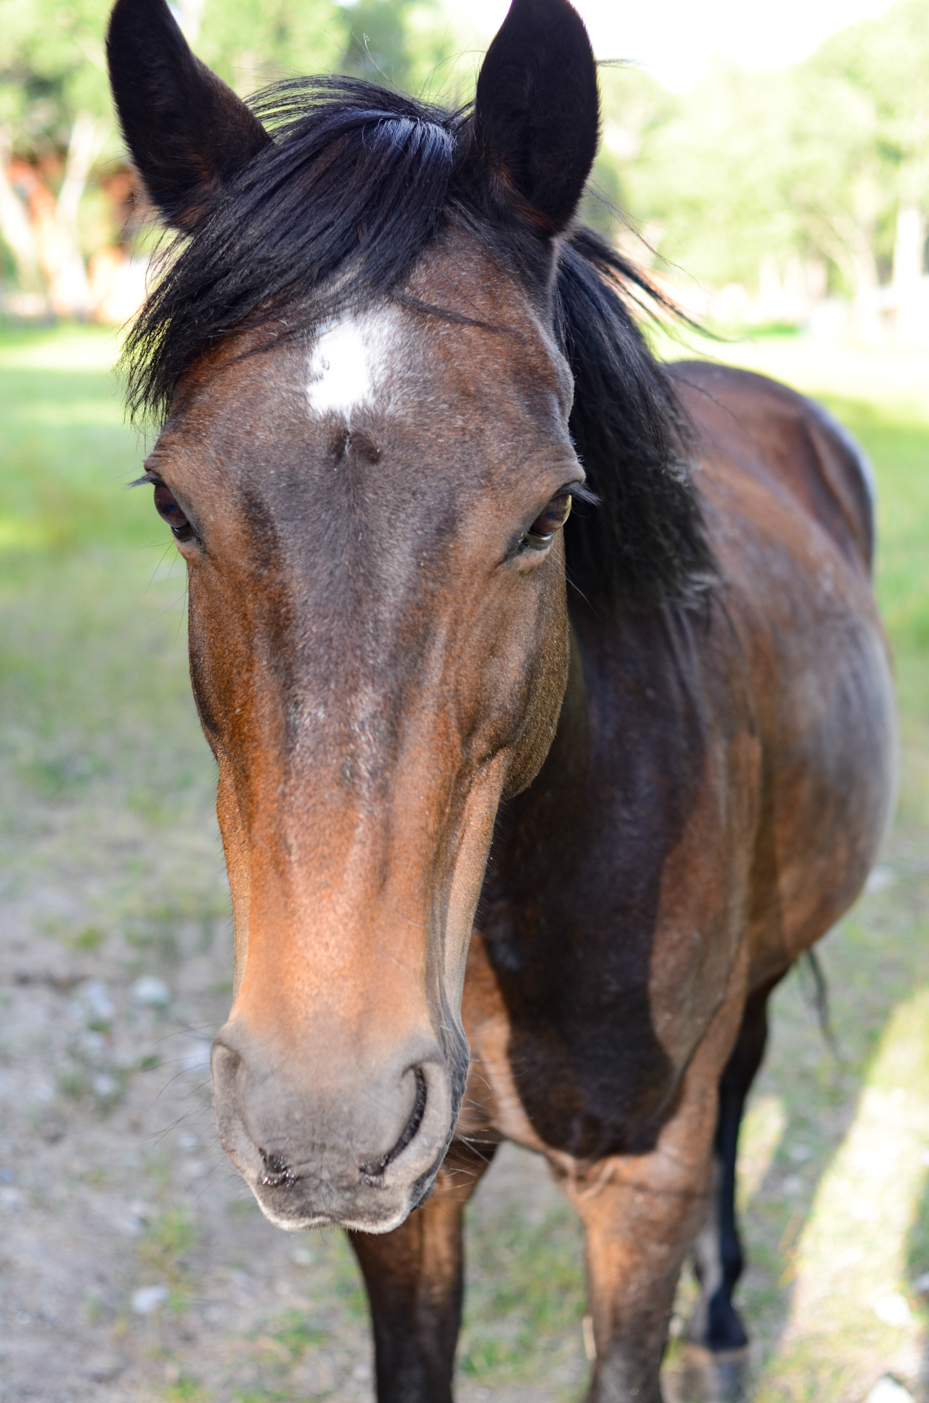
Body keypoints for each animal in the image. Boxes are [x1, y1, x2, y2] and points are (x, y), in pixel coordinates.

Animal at [105, 0, 898, 1397]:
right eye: (173, 506)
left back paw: (725, 1321)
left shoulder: (640, 1184)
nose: (326, 1111)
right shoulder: (412, 1206)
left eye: (548, 513)